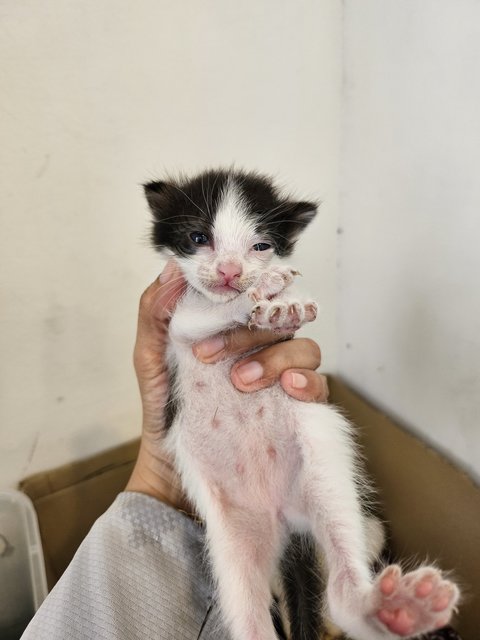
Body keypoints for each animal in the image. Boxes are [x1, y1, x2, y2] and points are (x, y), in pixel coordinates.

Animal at [144, 170, 460, 640]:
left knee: (341, 586)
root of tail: (284, 520)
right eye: (198, 237)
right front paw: (263, 294)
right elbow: (196, 314)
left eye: (260, 245)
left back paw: (392, 609)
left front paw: (279, 301)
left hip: (324, 461)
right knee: (249, 616)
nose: (230, 271)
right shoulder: (175, 323)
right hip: (229, 535)